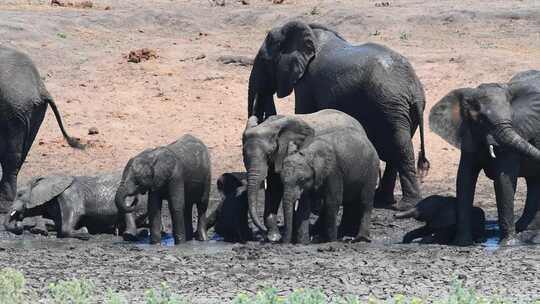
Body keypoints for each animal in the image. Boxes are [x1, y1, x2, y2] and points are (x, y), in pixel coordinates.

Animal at [247, 20, 428, 223]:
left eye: (264, 61)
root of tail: (413, 88)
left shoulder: (307, 81)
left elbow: (304, 112)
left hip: (390, 105)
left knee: (399, 146)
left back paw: (404, 206)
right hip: (400, 110)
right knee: (396, 148)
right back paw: (383, 200)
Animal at [276, 110, 378, 243]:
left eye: (301, 180)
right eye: (282, 181)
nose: (284, 242)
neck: (309, 154)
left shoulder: (333, 170)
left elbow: (332, 201)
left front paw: (331, 241)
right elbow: (304, 204)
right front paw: (304, 243)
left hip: (371, 170)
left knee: (365, 201)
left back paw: (360, 239)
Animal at [428, 70, 540, 246]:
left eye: (511, 117)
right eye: (482, 120)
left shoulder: (518, 130)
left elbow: (503, 181)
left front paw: (507, 245)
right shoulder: (467, 133)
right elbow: (465, 179)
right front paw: (462, 243)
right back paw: (525, 228)